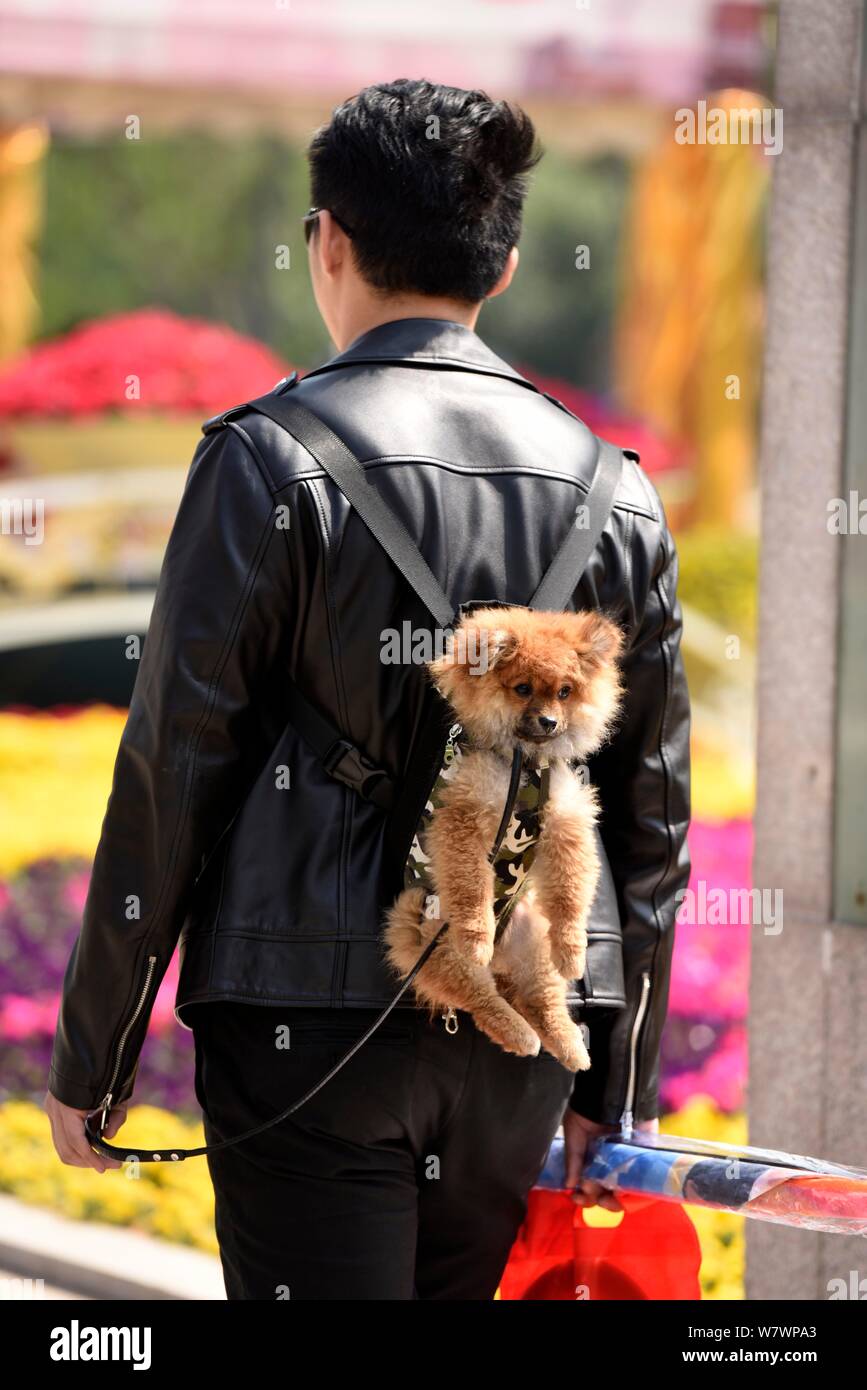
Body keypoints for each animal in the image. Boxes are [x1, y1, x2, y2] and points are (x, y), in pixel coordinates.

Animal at [380, 603, 622, 1067]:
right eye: (523, 689)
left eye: (565, 692)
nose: (549, 721)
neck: (522, 764)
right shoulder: (463, 822)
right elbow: (470, 885)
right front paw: (478, 934)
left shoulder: (564, 823)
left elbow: (570, 893)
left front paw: (573, 950)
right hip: (442, 951)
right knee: (482, 999)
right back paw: (518, 1032)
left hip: (532, 943)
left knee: (542, 999)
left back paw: (567, 1044)